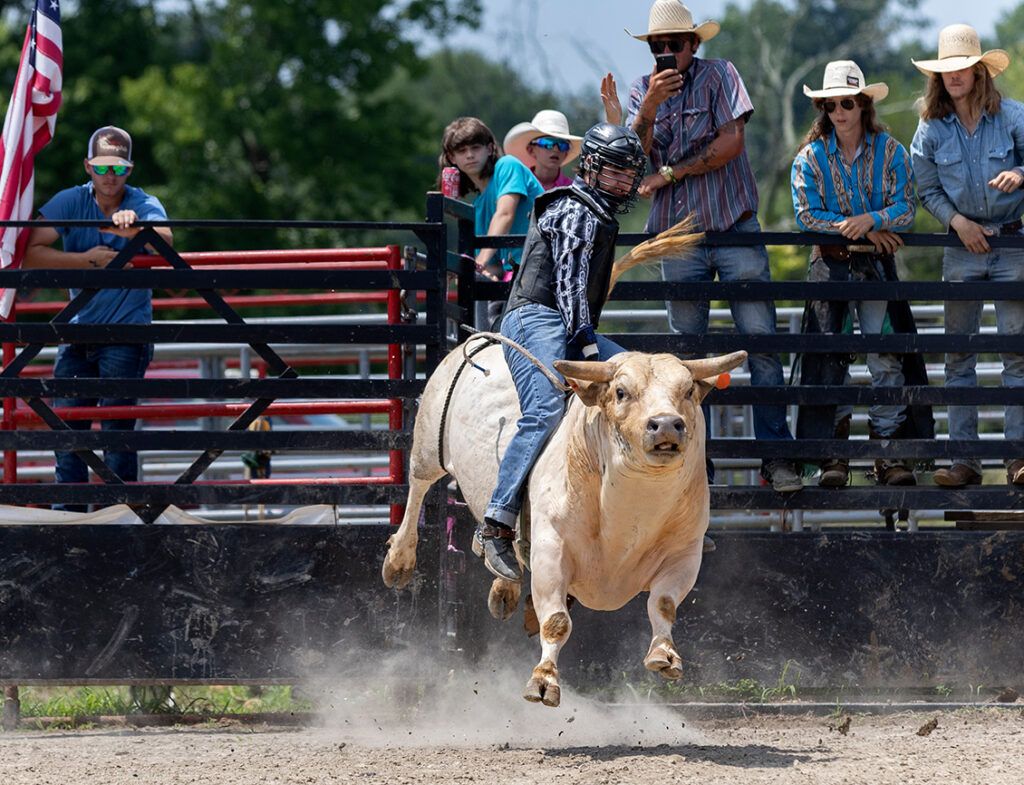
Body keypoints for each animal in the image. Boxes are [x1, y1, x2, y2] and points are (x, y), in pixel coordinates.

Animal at [380, 339, 749, 708]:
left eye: (687, 391)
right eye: (621, 391)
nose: (667, 424)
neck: (630, 513)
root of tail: (484, 340)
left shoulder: (684, 554)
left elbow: (664, 604)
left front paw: (664, 655)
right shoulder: (551, 550)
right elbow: (557, 621)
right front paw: (543, 681)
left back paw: (504, 582)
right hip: (429, 443)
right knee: (417, 487)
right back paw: (399, 562)